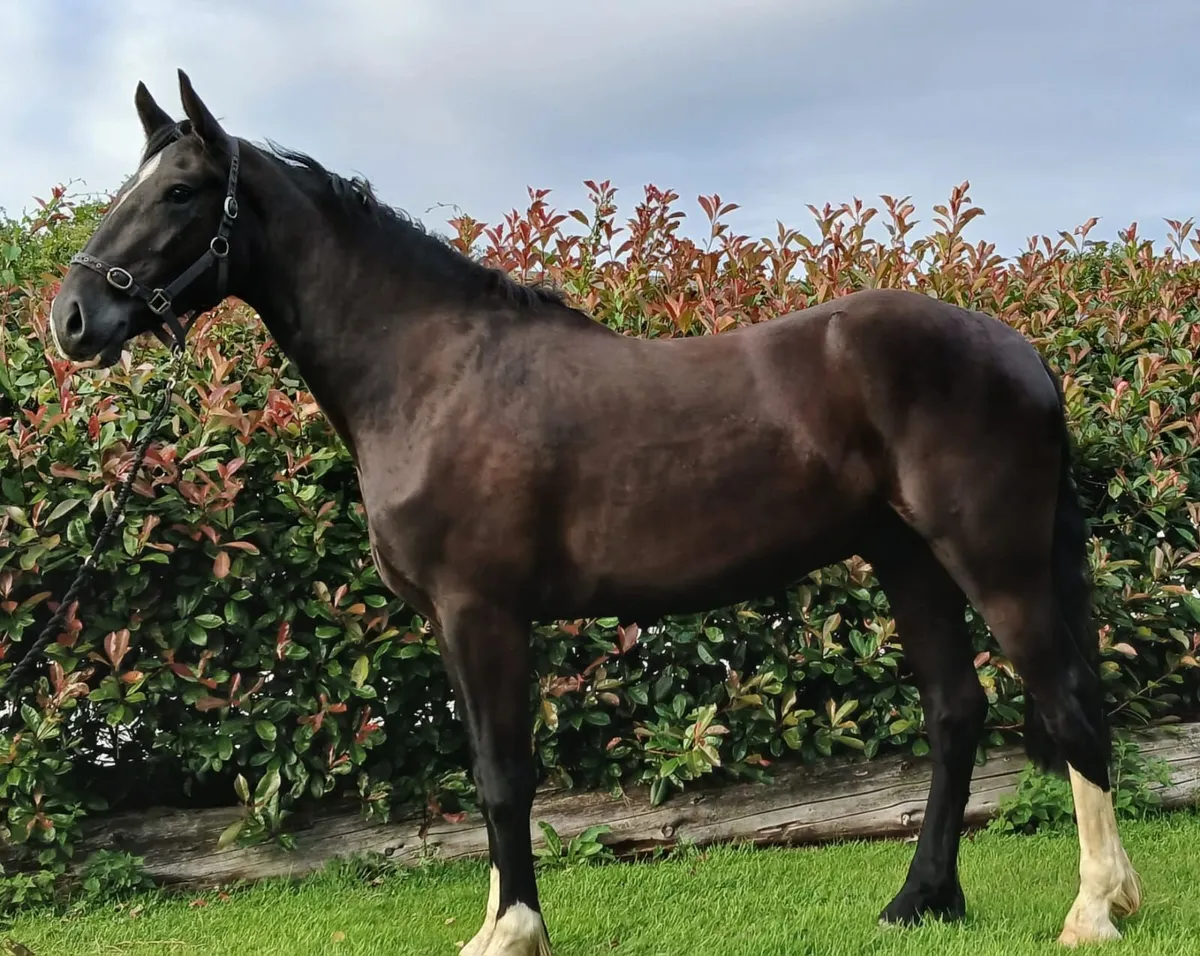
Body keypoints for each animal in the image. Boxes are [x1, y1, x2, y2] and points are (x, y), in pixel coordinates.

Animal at [48, 70, 1140, 952]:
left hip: (994, 559)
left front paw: (513, 933)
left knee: (1065, 705)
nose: (72, 320)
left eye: (181, 191)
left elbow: (502, 773)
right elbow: (488, 770)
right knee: (957, 711)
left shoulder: (481, 610)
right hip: (907, 559)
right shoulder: (458, 622)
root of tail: (1017, 349)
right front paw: (498, 923)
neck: (431, 371)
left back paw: (1093, 910)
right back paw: (922, 901)